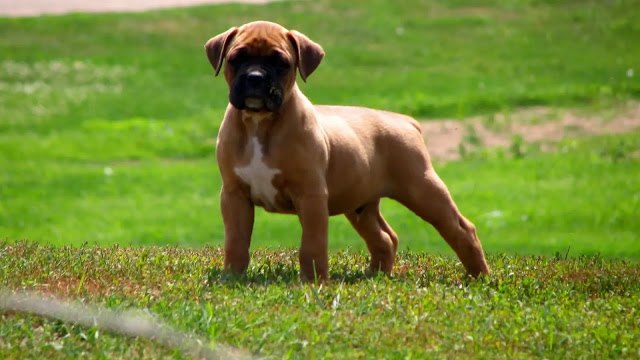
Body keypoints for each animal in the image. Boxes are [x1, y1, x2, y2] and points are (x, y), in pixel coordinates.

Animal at [205, 21, 490, 282]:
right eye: (236, 59)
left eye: (281, 63)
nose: (255, 77)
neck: (259, 122)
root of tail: (405, 120)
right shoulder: (234, 196)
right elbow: (236, 241)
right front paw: (232, 277)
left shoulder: (311, 196)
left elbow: (312, 245)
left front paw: (313, 283)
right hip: (361, 205)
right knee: (385, 238)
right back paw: (376, 276)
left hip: (423, 190)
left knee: (462, 229)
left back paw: (479, 276)